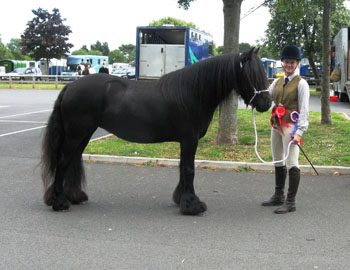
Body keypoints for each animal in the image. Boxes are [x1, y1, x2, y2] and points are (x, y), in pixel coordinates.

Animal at [40, 48, 270, 215]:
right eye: (251, 75)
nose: (267, 103)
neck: (193, 93)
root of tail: (69, 88)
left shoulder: (185, 141)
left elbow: (183, 168)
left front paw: (180, 199)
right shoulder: (189, 140)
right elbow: (189, 169)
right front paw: (192, 205)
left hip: (83, 134)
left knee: (72, 160)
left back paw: (74, 196)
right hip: (76, 134)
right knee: (63, 161)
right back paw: (59, 202)